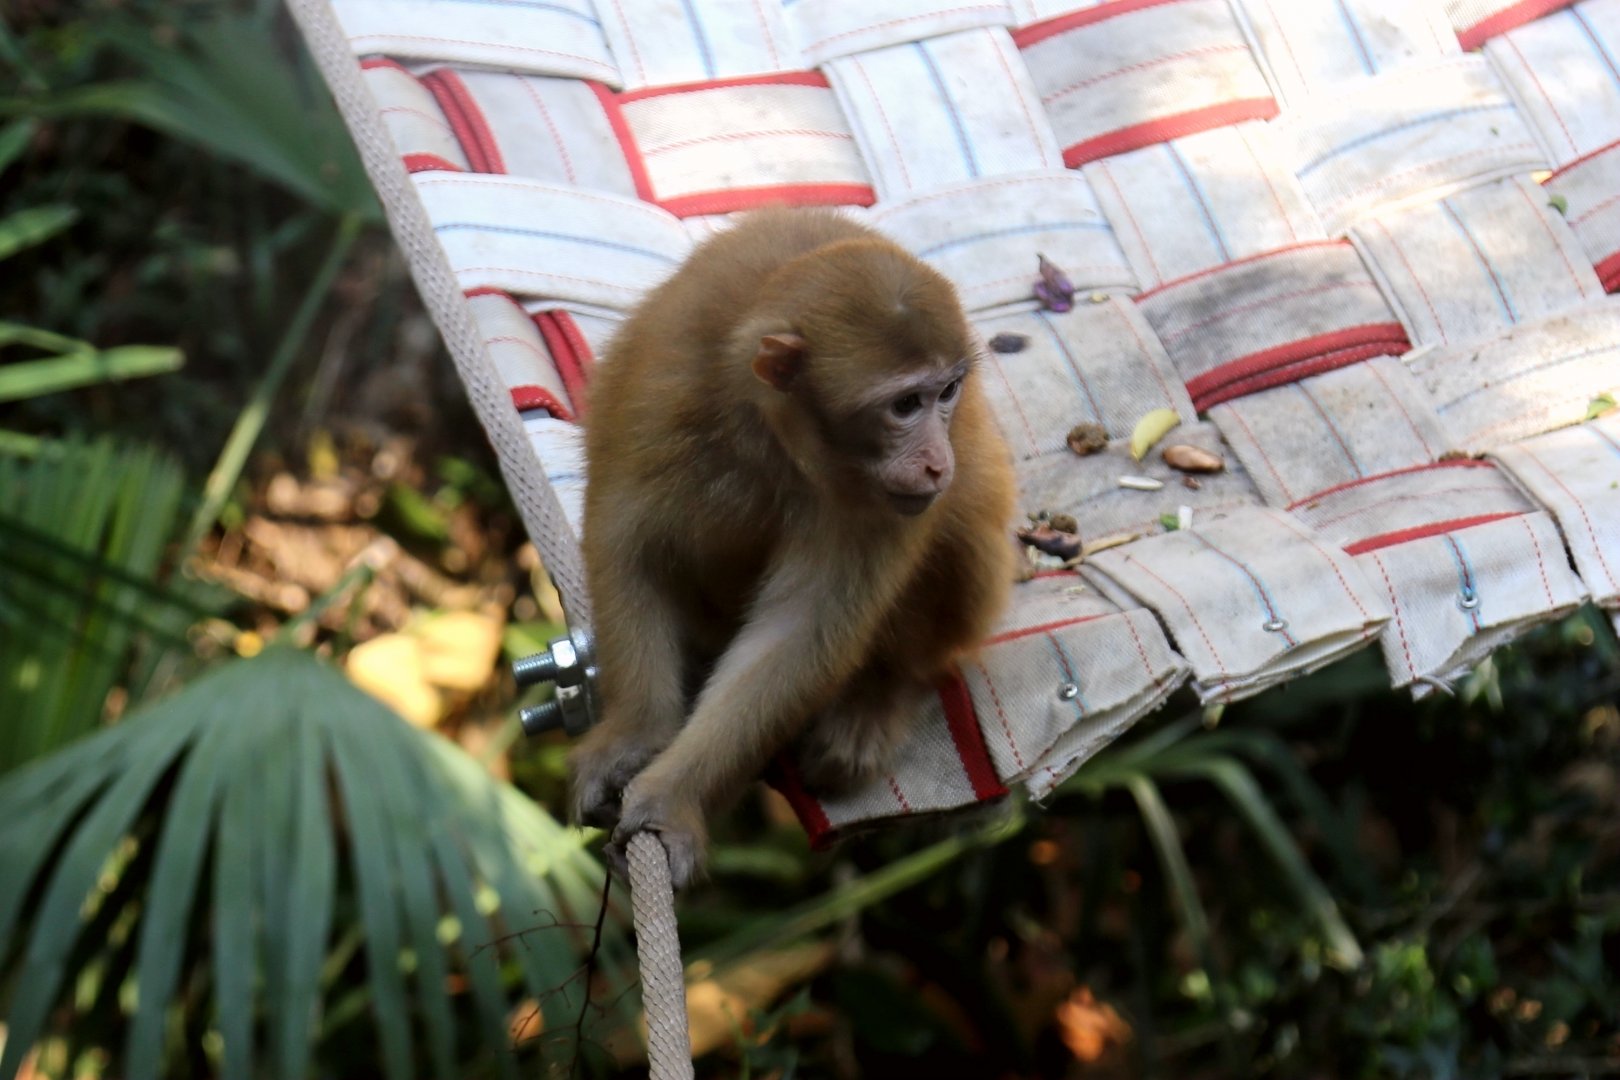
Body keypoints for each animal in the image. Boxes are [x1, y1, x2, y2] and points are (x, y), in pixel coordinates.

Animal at [569, 208, 1017, 888]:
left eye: (948, 394)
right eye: (905, 404)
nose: (939, 463)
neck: (772, 432)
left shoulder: (878, 503)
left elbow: (799, 633)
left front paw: (674, 799)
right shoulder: (659, 393)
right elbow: (631, 551)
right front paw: (633, 737)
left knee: (960, 532)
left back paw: (879, 695)